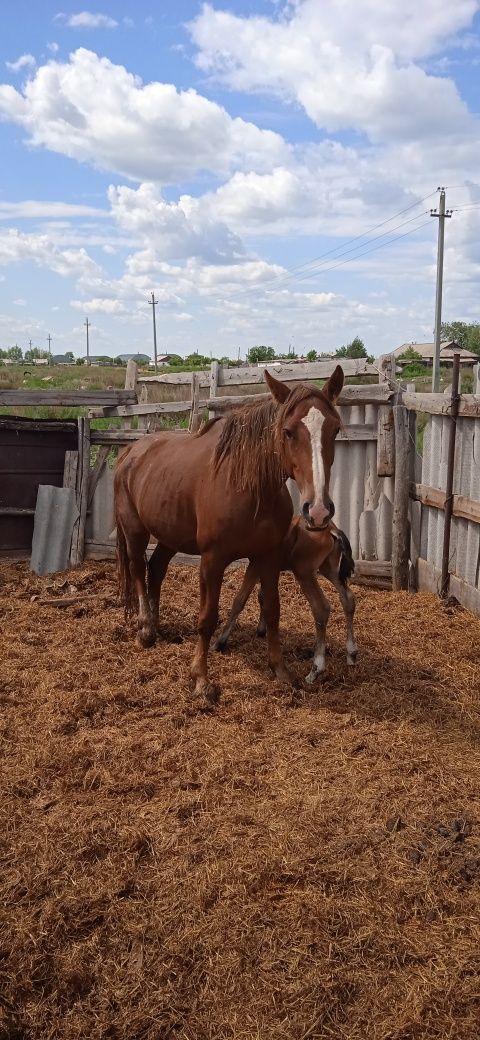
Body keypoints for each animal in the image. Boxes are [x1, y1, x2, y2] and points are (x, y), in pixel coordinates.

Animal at [212, 520, 355, 682]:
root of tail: (332, 530)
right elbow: (263, 596)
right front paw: (261, 630)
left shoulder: (255, 562)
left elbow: (240, 600)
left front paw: (219, 643)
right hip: (328, 568)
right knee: (348, 598)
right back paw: (351, 655)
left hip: (304, 572)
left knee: (321, 608)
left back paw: (315, 670)